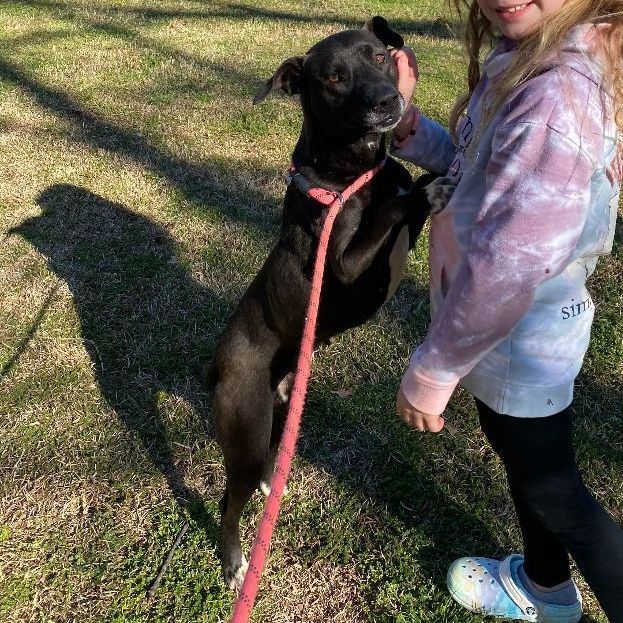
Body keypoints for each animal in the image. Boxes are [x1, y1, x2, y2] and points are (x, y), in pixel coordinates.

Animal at [207, 15, 432, 588]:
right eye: (332, 78)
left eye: (379, 56)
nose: (388, 101)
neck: (351, 171)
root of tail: (217, 364)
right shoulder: (347, 264)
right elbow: (392, 209)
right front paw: (427, 187)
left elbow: (405, 198)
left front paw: (431, 180)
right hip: (244, 433)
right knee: (228, 503)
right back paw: (235, 562)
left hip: (281, 415)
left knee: (271, 458)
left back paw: (273, 485)